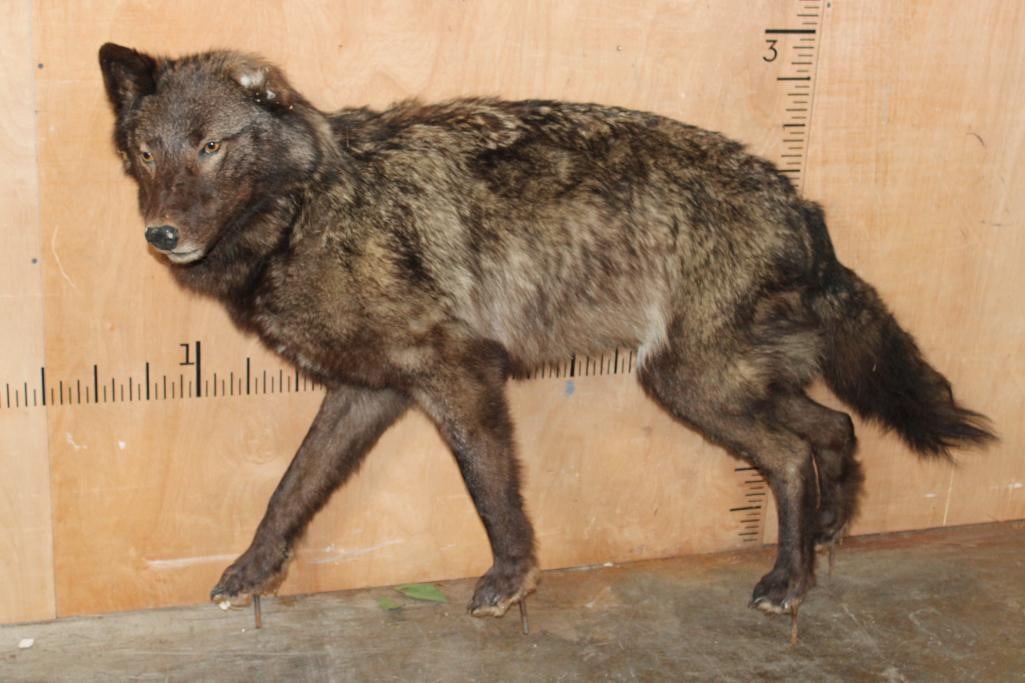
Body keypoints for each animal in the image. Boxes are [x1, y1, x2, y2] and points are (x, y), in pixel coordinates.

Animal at [99, 43, 994, 631]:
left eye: (210, 147)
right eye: (146, 151)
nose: (159, 235)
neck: (305, 209)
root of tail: (799, 204)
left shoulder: (456, 375)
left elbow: (492, 491)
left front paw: (510, 577)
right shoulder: (367, 392)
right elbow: (290, 488)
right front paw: (252, 570)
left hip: (689, 384)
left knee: (788, 454)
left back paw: (787, 576)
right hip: (720, 382)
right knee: (831, 427)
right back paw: (827, 532)